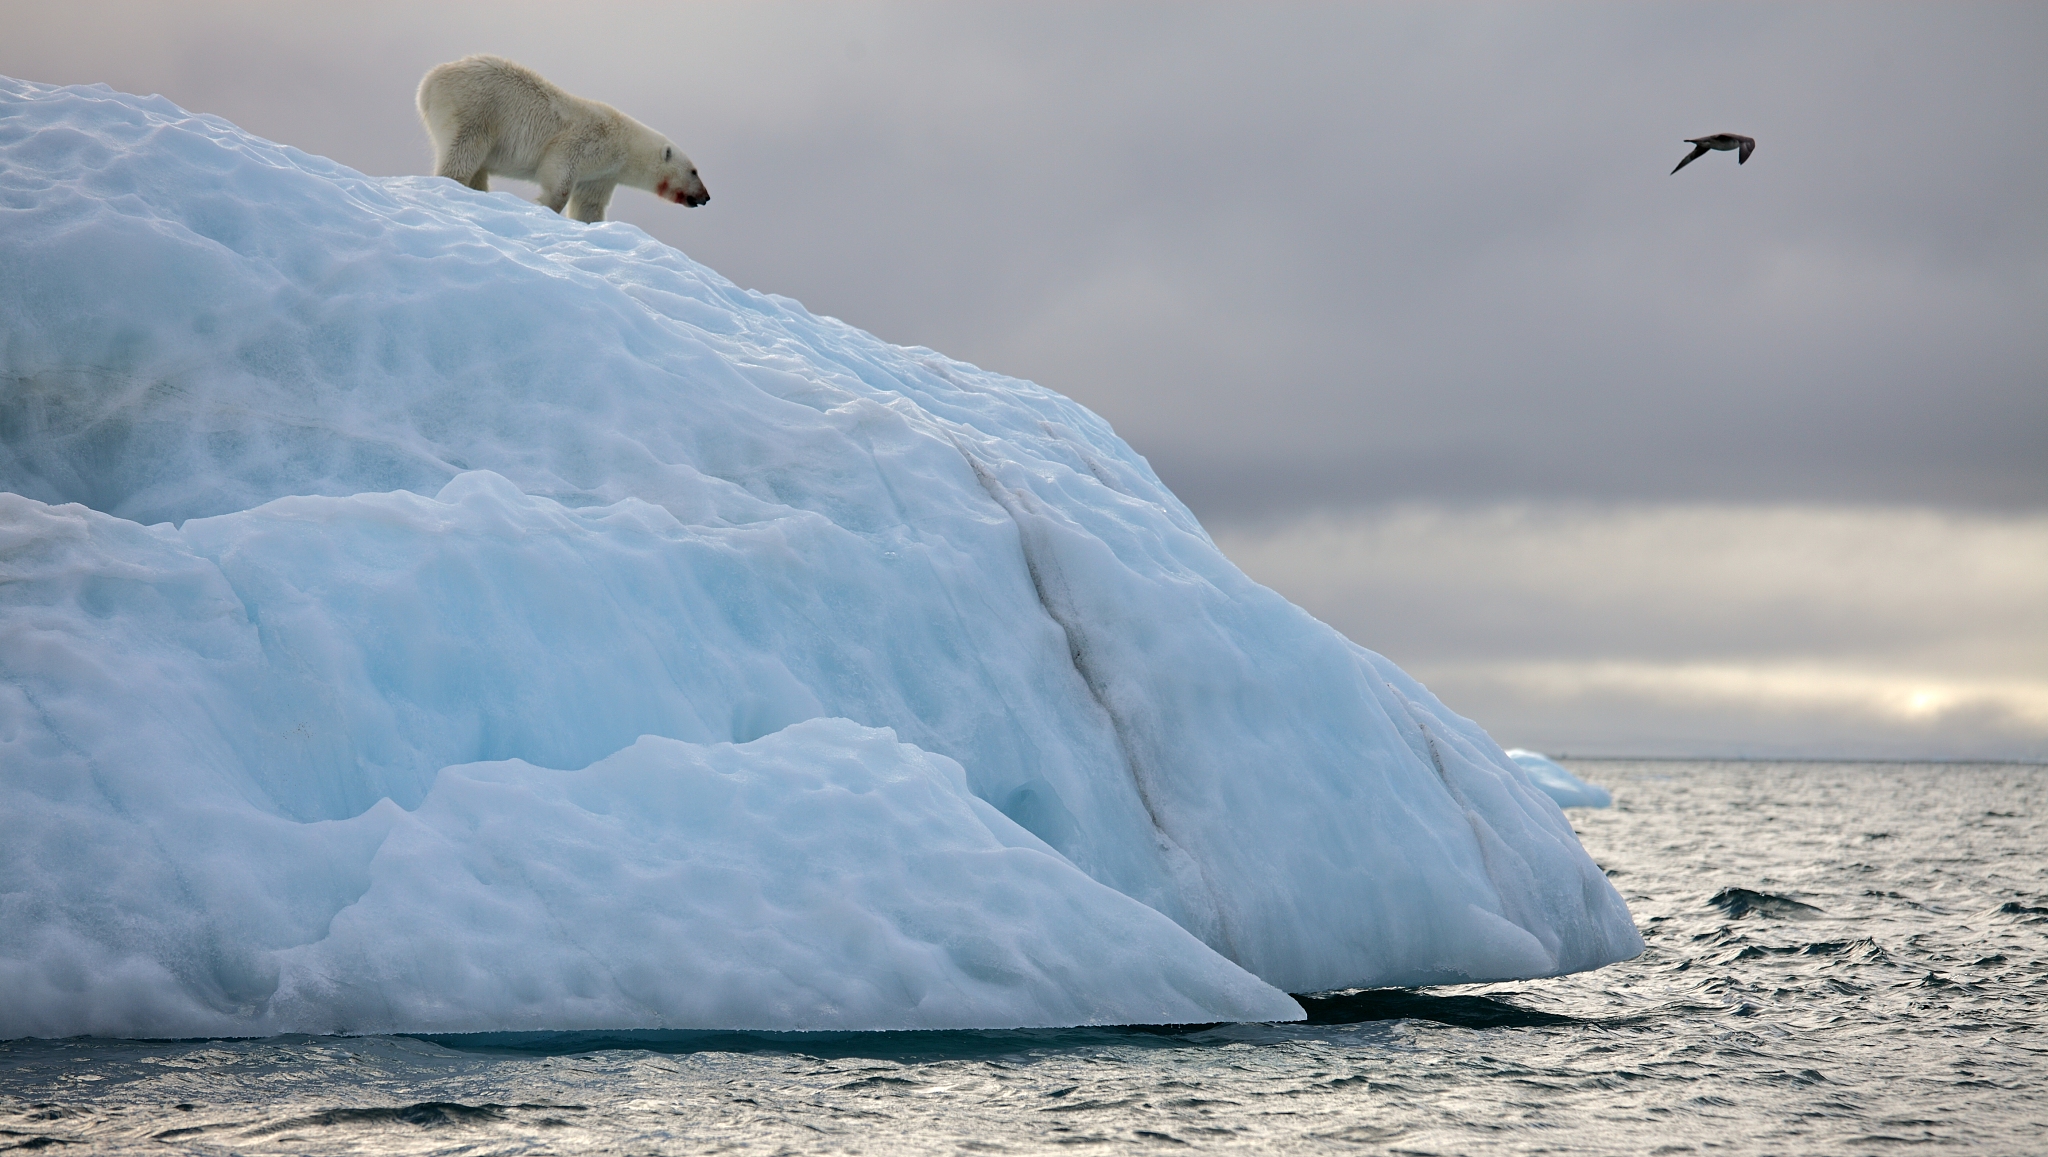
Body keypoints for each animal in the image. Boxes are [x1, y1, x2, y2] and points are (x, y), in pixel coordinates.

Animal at [417, 54, 708, 223]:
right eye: (694, 171)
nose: (706, 197)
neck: (624, 144)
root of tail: (428, 82)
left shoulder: (603, 175)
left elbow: (589, 204)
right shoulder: (586, 140)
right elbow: (559, 173)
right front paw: (544, 207)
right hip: (476, 108)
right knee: (465, 152)